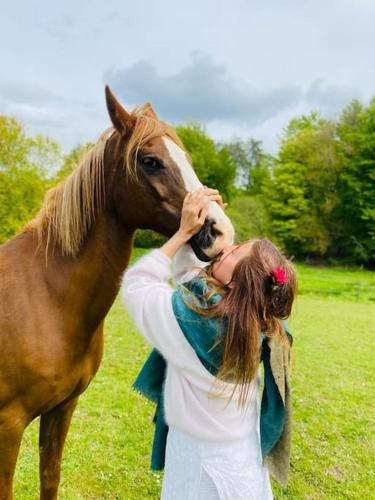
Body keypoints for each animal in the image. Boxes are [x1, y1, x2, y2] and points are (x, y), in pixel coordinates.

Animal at [0, 87, 235, 500]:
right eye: (151, 161)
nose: (220, 231)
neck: (46, 298)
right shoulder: (8, 426)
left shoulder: (62, 409)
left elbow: (50, 478)